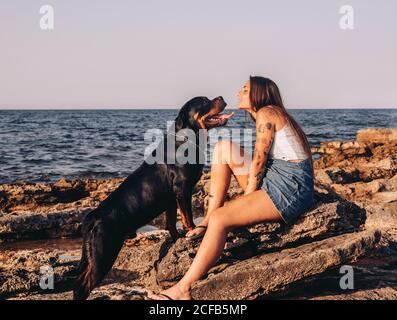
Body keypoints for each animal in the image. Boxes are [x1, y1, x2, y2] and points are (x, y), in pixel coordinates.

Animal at [73, 95, 232, 300]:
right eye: (204, 102)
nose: (221, 97)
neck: (187, 139)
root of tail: (92, 217)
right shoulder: (182, 188)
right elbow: (187, 216)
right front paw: (193, 231)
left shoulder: (171, 199)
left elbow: (171, 222)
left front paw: (177, 237)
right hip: (103, 253)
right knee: (82, 284)